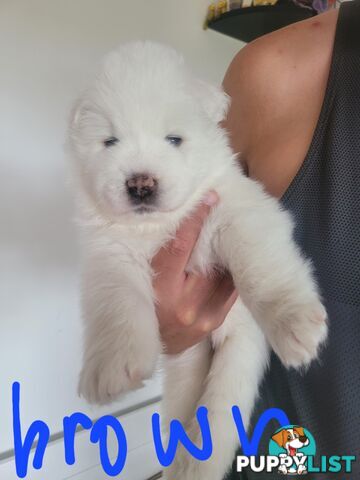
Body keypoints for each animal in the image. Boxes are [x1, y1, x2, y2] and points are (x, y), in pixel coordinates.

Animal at [68, 43, 330, 480]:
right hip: (187, 371)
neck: (161, 225)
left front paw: (294, 323)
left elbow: (261, 267)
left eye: (174, 139)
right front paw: (112, 367)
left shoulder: (238, 214)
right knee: (190, 426)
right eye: (110, 141)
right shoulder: (112, 254)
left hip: (236, 355)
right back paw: (182, 466)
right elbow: (117, 307)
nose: (140, 184)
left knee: (218, 416)